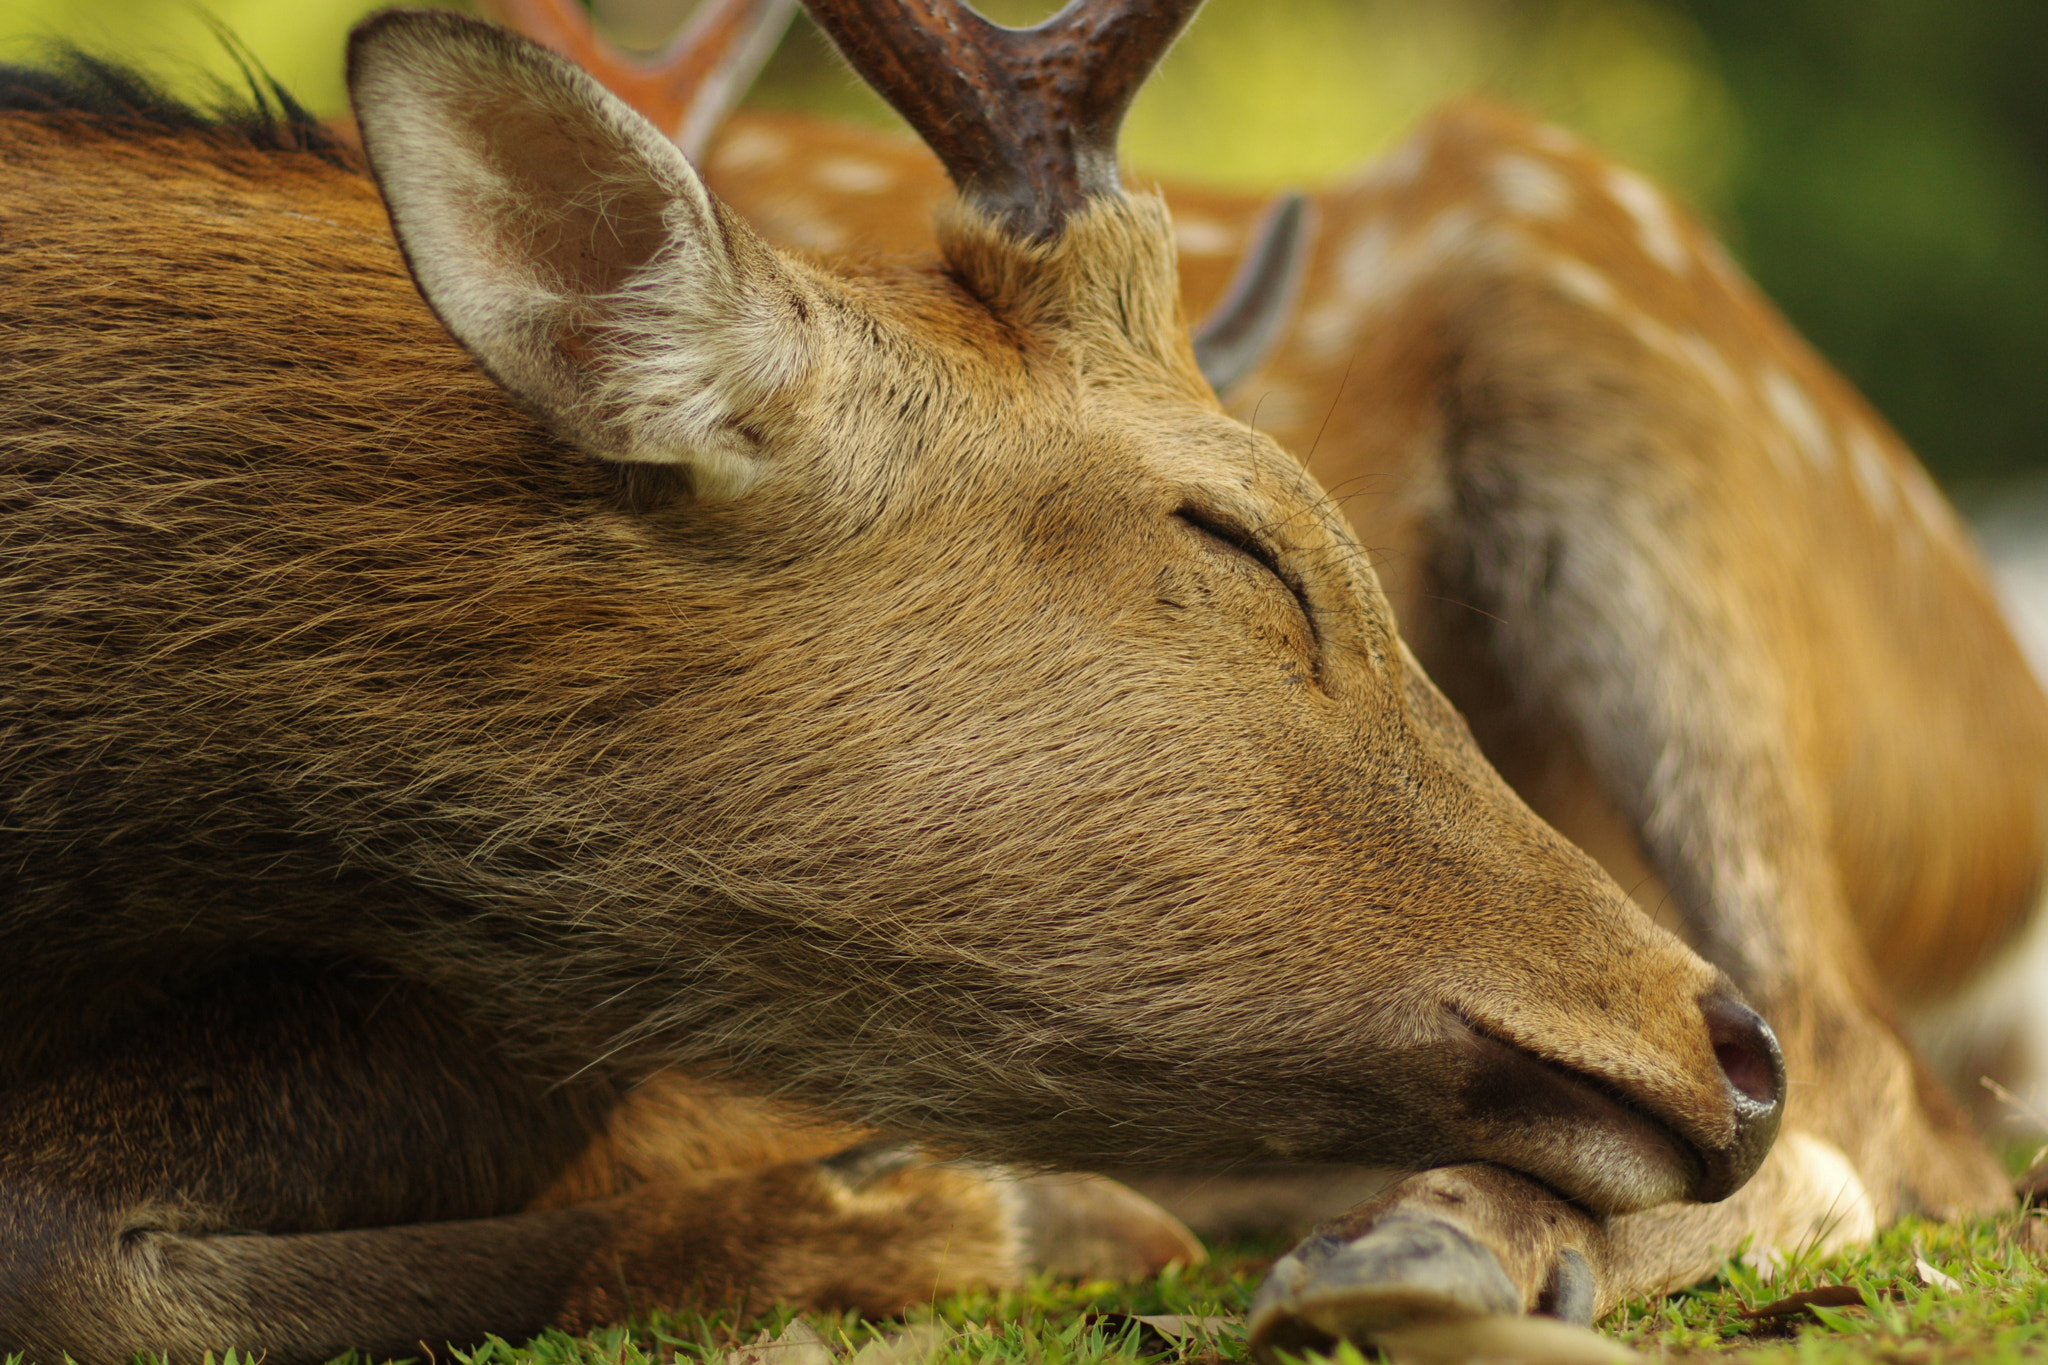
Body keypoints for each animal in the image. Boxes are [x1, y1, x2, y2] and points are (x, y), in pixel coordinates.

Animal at [0, 7, 2031, 1365]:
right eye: (1240, 543)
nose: (1718, 1048)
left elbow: (66, 1244)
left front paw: (984, 1206)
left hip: (1627, 387)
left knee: (1895, 1103)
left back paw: (1426, 1250)